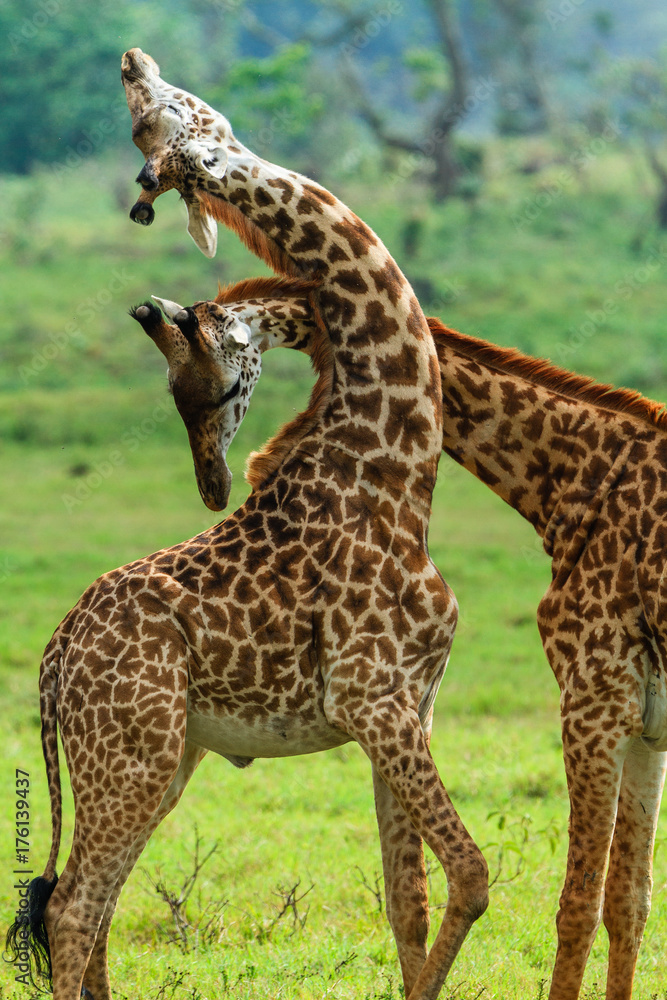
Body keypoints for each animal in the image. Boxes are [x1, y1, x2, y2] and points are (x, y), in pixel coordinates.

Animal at [7, 80, 491, 999]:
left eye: (180, 122)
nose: (212, 486)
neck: (396, 477)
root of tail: (53, 661)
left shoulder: (409, 706)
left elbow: (406, 902)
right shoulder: (372, 698)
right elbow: (472, 877)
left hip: (158, 758)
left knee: (94, 904)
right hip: (132, 752)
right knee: (74, 906)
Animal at [146, 285, 667, 1000]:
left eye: (221, 389)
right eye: (171, 390)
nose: (215, 486)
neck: (575, 480)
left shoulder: (596, 701)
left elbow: (578, 904)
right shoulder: (643, 725)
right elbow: (628, 903)